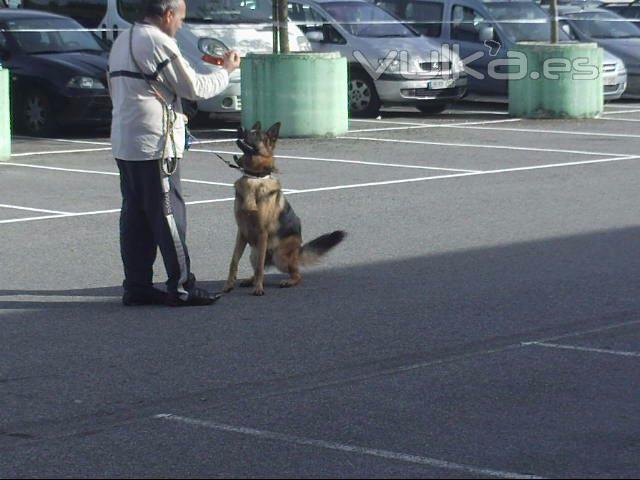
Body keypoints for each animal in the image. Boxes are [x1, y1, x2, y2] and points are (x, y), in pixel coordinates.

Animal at [224, 122, 344, 294]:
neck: (255, 177)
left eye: (256, 134)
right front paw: (228, 285)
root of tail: (298, 251)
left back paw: (287, 281)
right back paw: (250, 280)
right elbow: (234, 261)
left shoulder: (262, 232)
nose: (240, 128)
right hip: (254, 253)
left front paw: (259, 289)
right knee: (259, 267)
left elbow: (260, 267)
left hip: (278, 256)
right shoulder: (241, 232)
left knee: (295, 274)